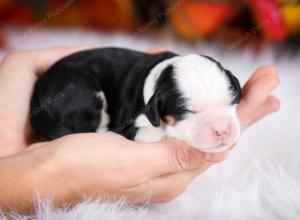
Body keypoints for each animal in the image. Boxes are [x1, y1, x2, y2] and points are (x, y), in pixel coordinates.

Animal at [30, 47, 241, 152]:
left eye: (232, 101)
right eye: (188, 112)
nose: (222, 130)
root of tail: (40, 85)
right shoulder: (132, 127)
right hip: (85, 93)